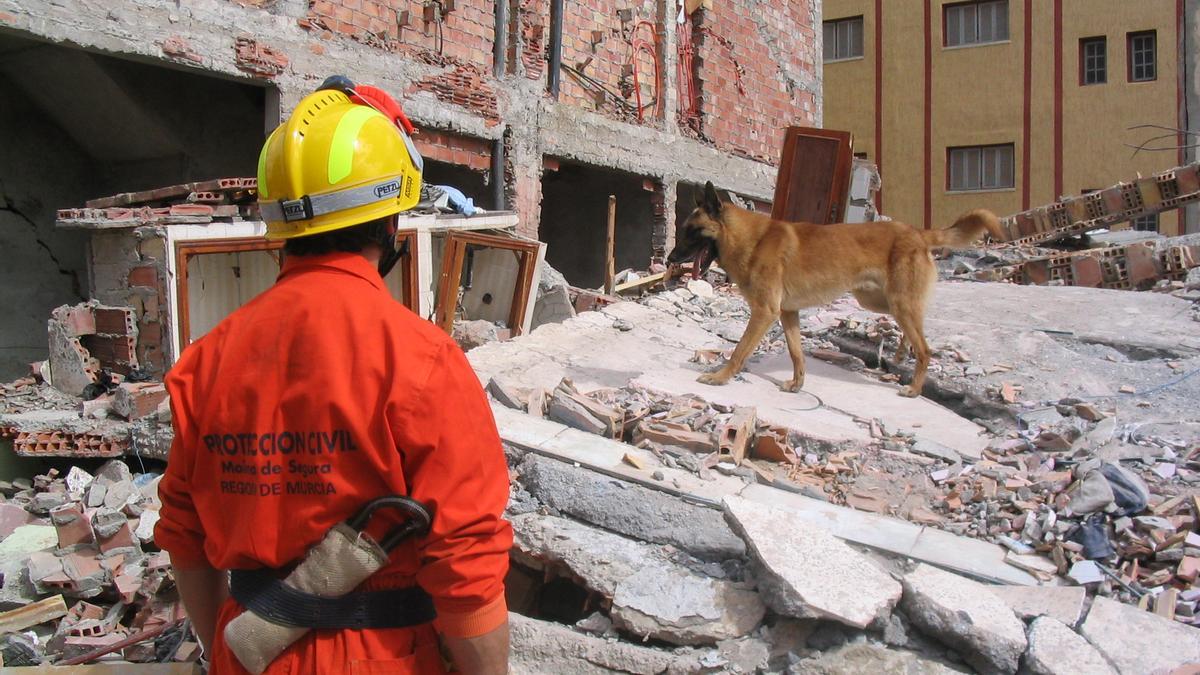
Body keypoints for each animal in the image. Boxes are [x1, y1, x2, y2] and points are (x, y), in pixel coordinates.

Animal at [667, 181, 1003, 396]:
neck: (750, 239)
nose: (669, 259)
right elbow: (796, 353)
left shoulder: (764, 312)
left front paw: (719, 377)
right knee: (916, 328)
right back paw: (900, 352)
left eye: (692, 232)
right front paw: (797, 385)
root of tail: (917, 232)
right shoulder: (787, 313)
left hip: (898, 302)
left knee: (925, 347)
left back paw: (914, 388)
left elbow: (738, 352)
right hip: (881, 302)